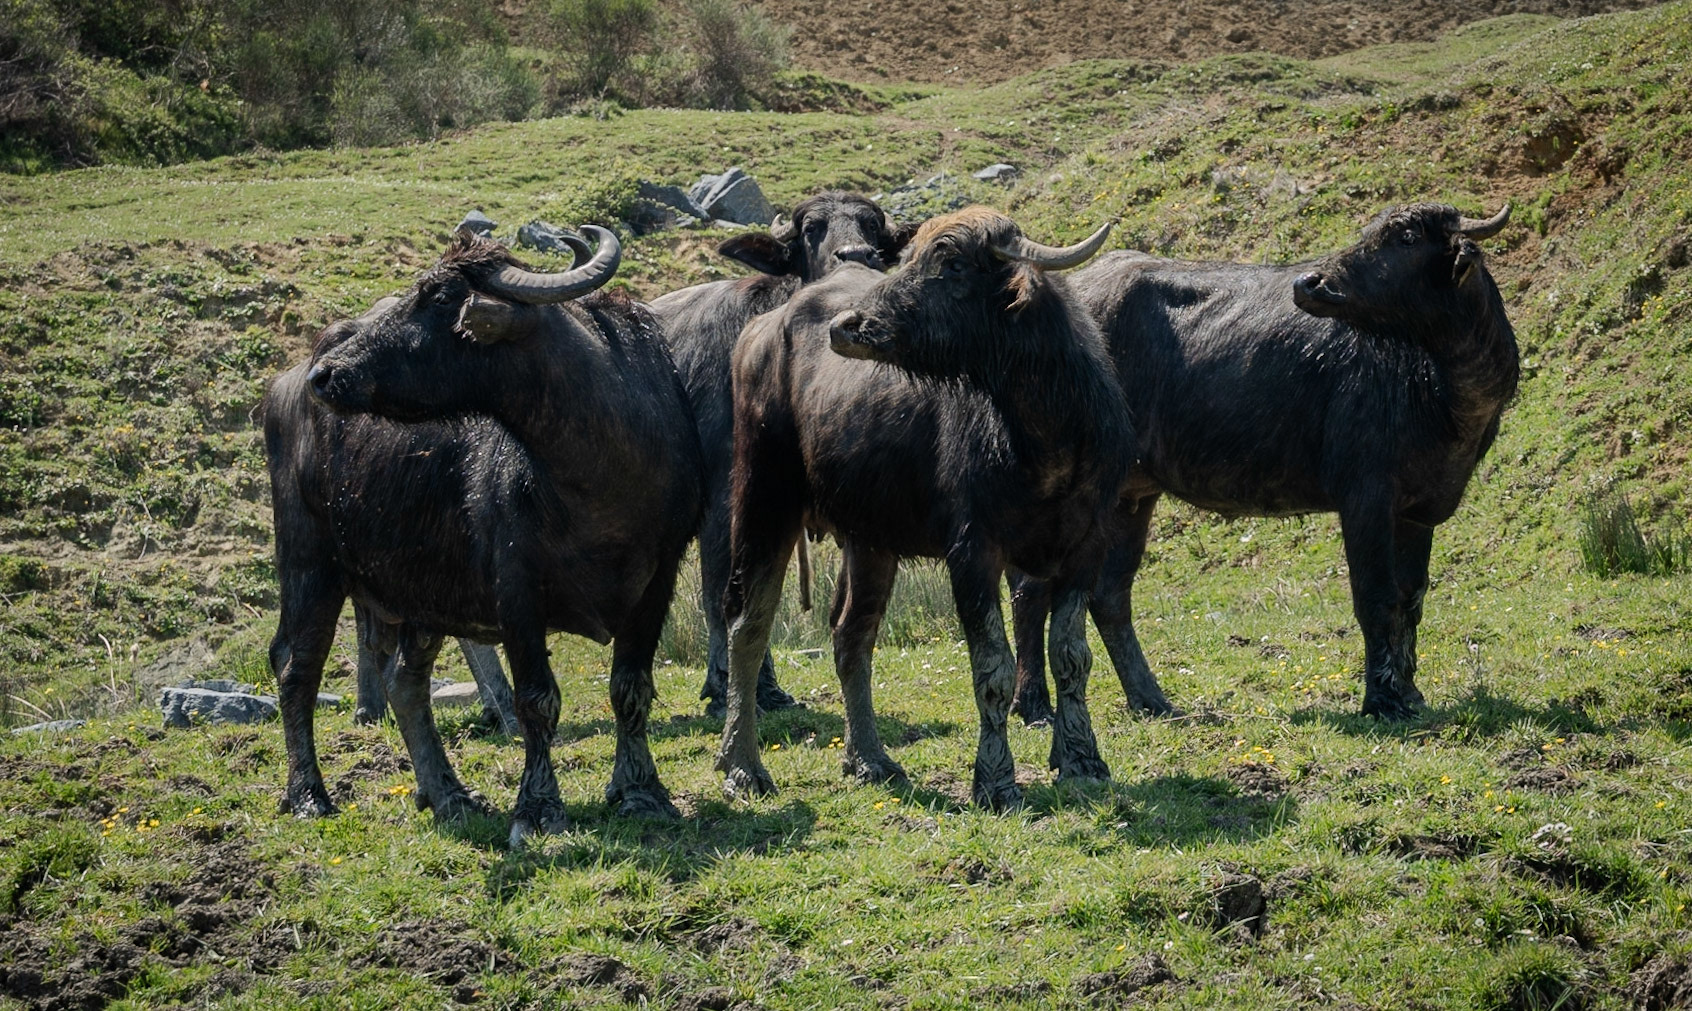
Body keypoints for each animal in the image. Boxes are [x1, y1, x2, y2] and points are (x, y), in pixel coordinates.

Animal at [266, 227, 702, 847]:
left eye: (438, 297)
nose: (326, 375)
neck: (596, 472)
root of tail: (286, 384)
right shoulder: (516, 587)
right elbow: (537, 700)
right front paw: (538, 810)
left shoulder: (657, 581)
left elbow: (631, 688)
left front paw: (642, 792)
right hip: (309, 563)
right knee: (296, 667)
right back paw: (308, 795)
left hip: (423, 591)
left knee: (405, 681)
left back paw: (448, 794)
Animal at [714, 207, 1132, 810]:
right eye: (909, 259)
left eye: (952, 264)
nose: (846, 327)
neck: (1041, 437)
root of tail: (762, 331)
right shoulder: (972, 552)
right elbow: (993, 667)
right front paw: (996, 781)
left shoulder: (1087, 545)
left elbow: (1072, 655)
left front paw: (1082, 760)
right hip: (764, 499)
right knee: (747, 624)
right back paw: (742, 766)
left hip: (870, 539)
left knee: (851, 634)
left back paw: (870, 759)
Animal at [1011, 202, 1517, 722]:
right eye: (1372, 234)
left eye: (1408, 238)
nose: (1310, 283)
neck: (1441, 385)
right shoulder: (1365, 498)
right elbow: (1374, 598)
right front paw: (1382, 699)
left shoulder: (1419, 512)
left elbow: (1410, 599)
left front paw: (1411, 691)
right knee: (1032, 589)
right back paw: (1033, 705)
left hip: (1132, 495)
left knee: (1109, 595)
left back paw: (1151, 699)